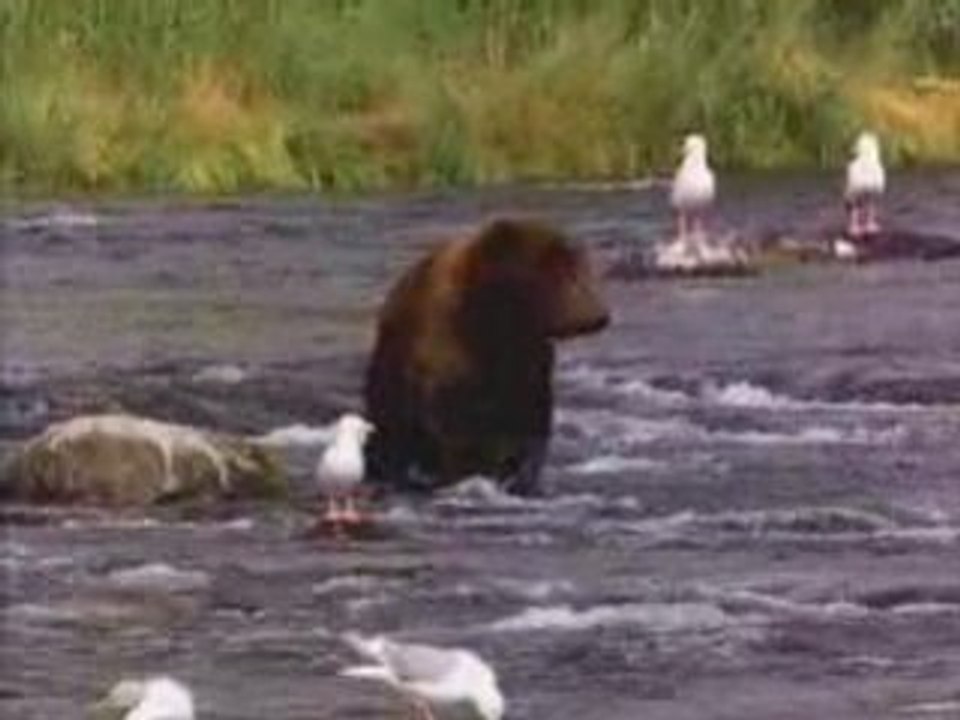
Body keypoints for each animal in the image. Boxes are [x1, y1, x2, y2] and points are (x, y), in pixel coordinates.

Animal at [364, 217, 610, 496]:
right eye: (561, 273)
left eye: (581, 268)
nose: (599, 315)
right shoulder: (447, 352)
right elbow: (455, 428)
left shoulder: (526, 358)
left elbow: (528, 421)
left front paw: (517, 475)